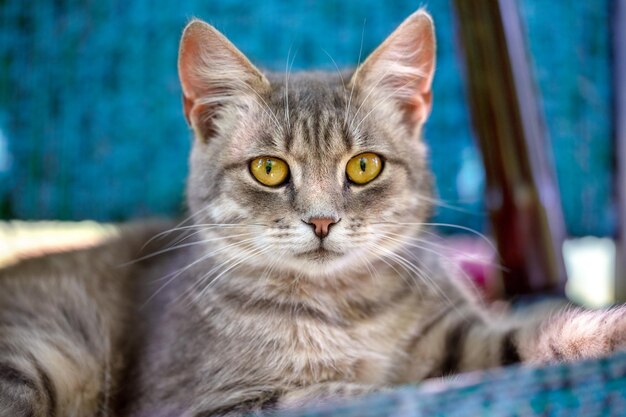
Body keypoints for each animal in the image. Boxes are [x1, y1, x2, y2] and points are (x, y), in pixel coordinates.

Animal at [1, 8, 624, 416]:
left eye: (364, 166)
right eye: (269, 169)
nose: (322, 221)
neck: (345, 310)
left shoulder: (460, 336)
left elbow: (535, 336)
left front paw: (603, 334)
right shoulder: (197, 403)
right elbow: (343, 394)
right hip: (41, 355)